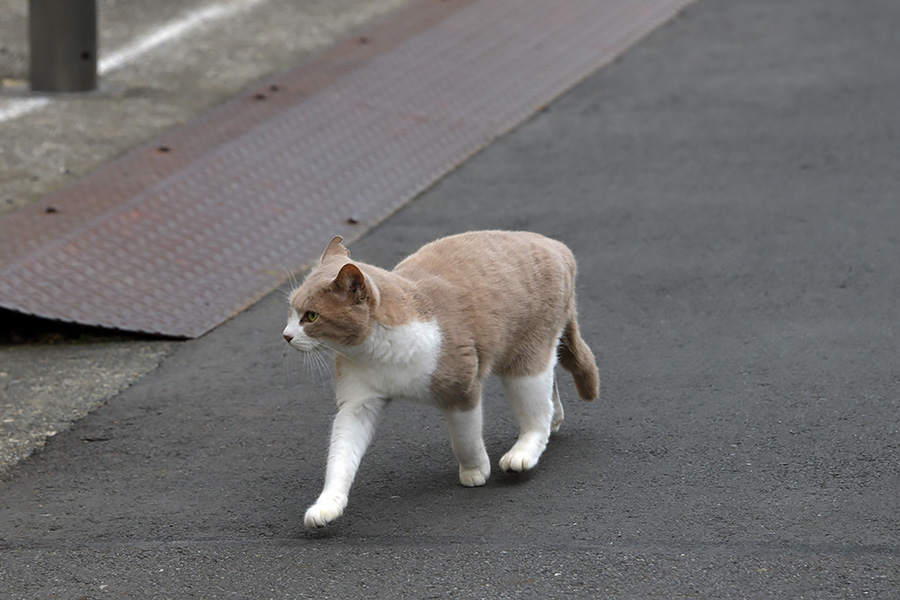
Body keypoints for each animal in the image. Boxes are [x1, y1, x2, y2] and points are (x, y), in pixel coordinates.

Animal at [284, 232, 600, 528]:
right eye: (291, 310)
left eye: (311, 316)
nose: (286, 335)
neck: (378, 353)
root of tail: (556, 245)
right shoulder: (358, 404)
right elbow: (341, 457)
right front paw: (327, 506)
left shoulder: (462, 388)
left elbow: (465, 439)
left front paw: (474, 471)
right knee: (550, 384)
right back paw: (555, 419)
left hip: (525, 360)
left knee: (537, 411)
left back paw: (522, 454)